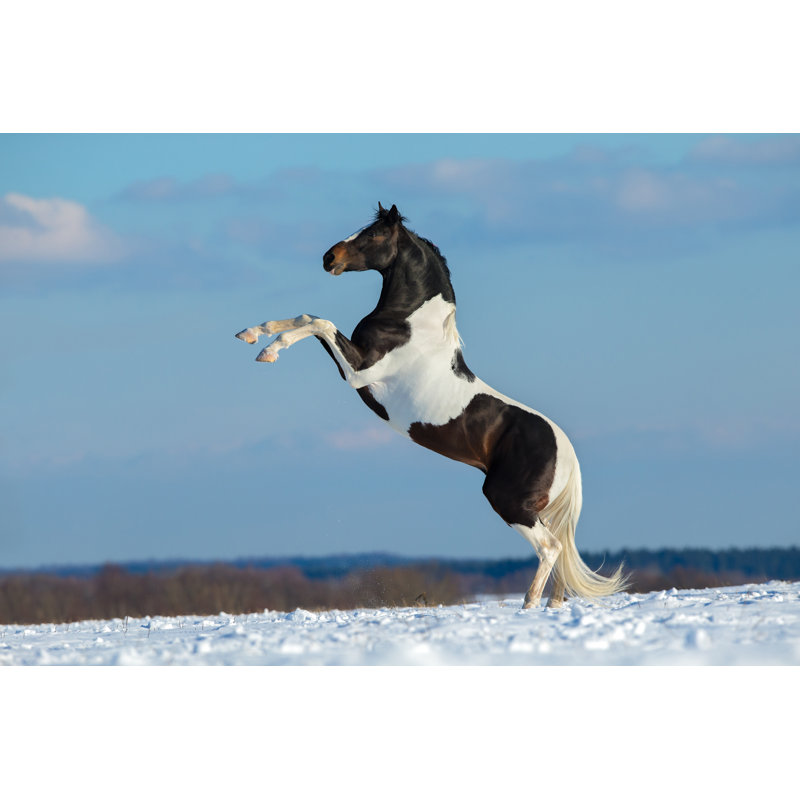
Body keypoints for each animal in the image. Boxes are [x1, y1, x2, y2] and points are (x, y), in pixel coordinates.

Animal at [235, 203, 626, 608]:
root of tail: (566, 452)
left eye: (375, 234)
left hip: (507, 501)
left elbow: (319, 323)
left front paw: (268, 352)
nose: (329, 258)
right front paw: (251, 334)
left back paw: (529, 606)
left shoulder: (359, 372)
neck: (409, 324)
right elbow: (307, 316)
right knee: (560, 558)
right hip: (536, 508)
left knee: (550, 549)